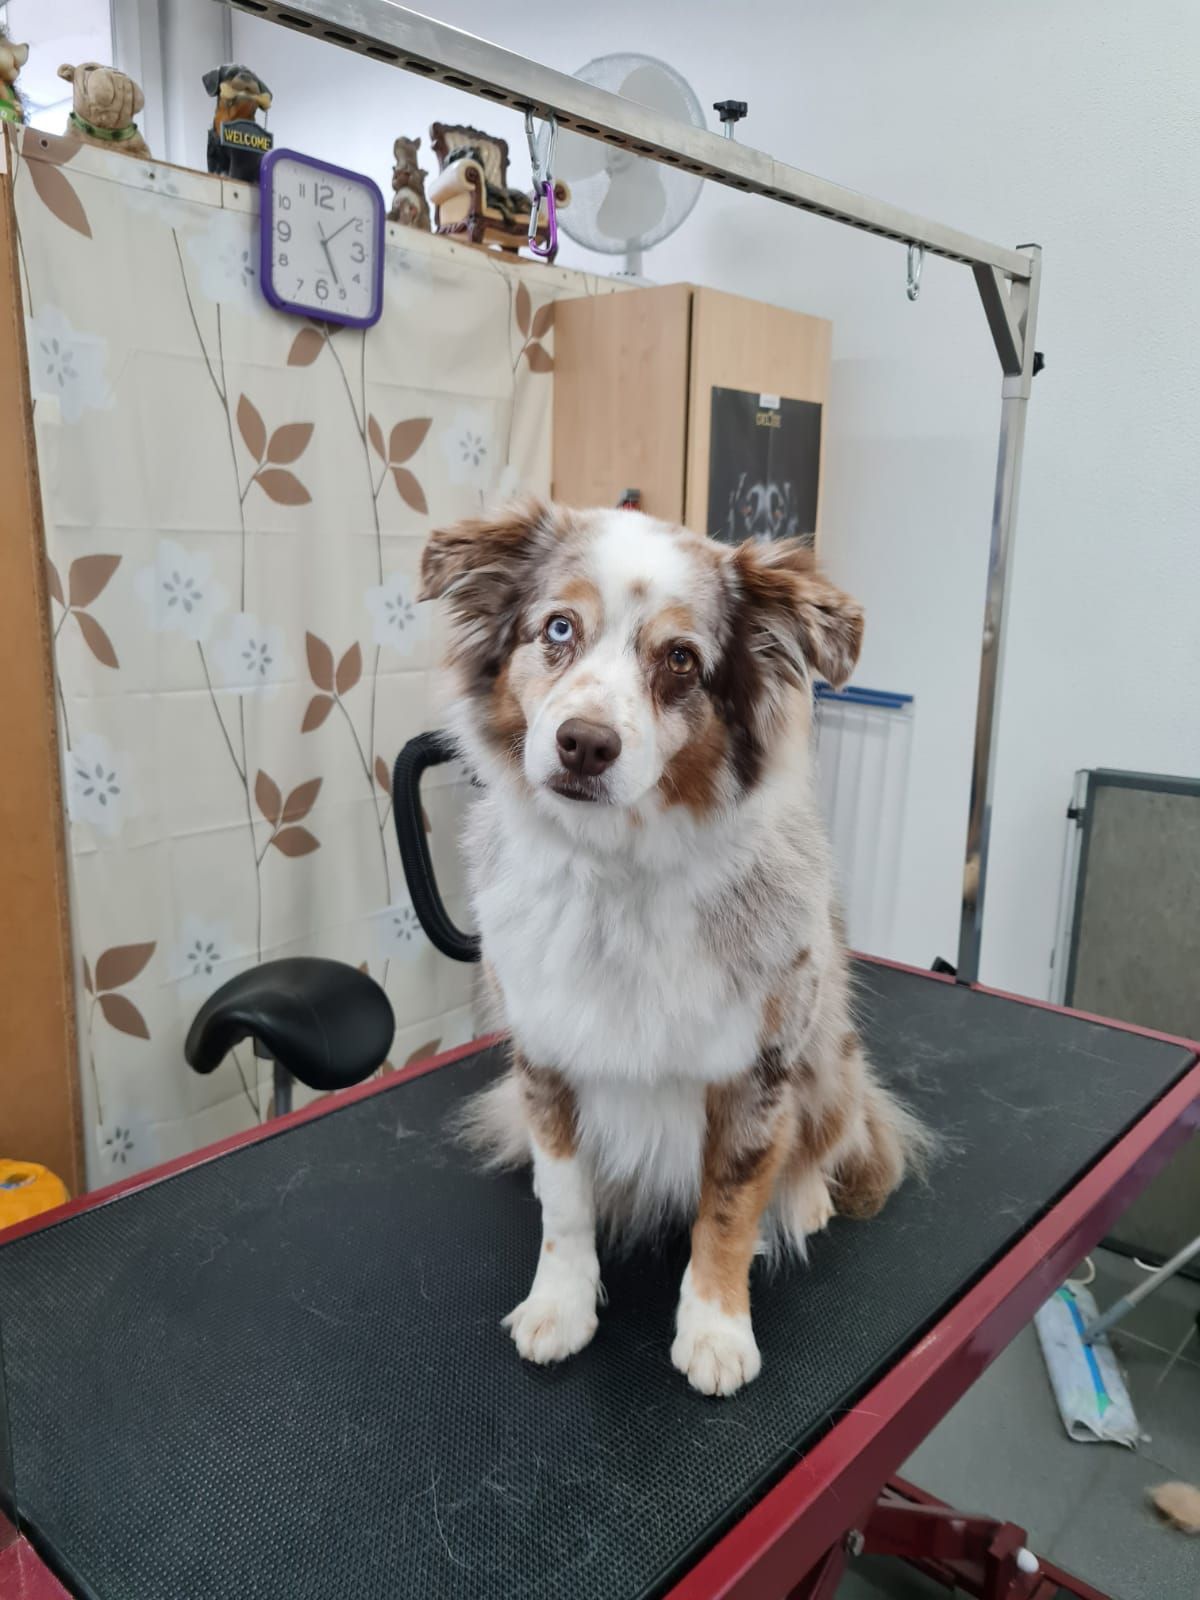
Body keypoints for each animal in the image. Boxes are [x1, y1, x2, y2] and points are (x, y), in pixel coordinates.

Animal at [419, 501, 929, 1396]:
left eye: (682, 659)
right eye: (558, 628)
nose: (585, 744)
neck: (616, 872)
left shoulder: (757, 1070)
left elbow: (728, 1208)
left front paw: (717, 1330)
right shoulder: (546, 1057)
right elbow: (564, 1201)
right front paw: (560, 1306)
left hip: (831, 1053)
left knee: (829, 1141)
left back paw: (807, 1201)